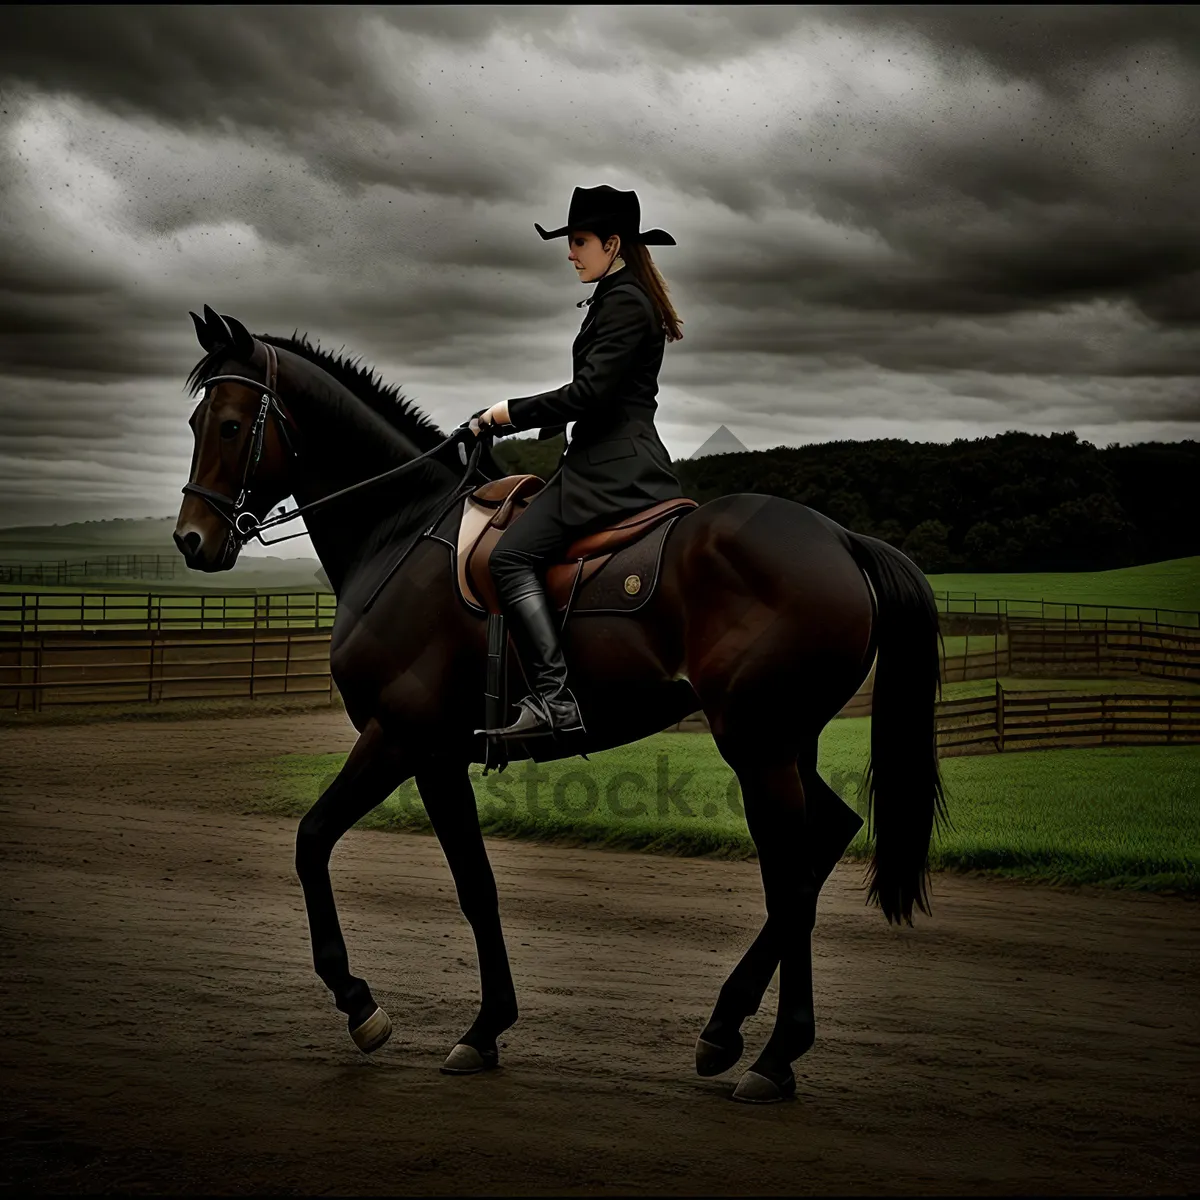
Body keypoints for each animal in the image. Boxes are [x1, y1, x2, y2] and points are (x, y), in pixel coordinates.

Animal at [177, 307, 945, 1104]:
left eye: (229, 425)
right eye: (196, 421)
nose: (191, 540)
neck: (399, 532)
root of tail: (839, 538)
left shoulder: (402, 739)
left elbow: (316, 842)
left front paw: (363, 1007)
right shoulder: (438, 754)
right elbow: (475, 884)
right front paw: (485, 1028)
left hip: (757, 745)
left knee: (790, 874)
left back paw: (774, 1054)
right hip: (787, 741)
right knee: (828, 835)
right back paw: (727, 1028)